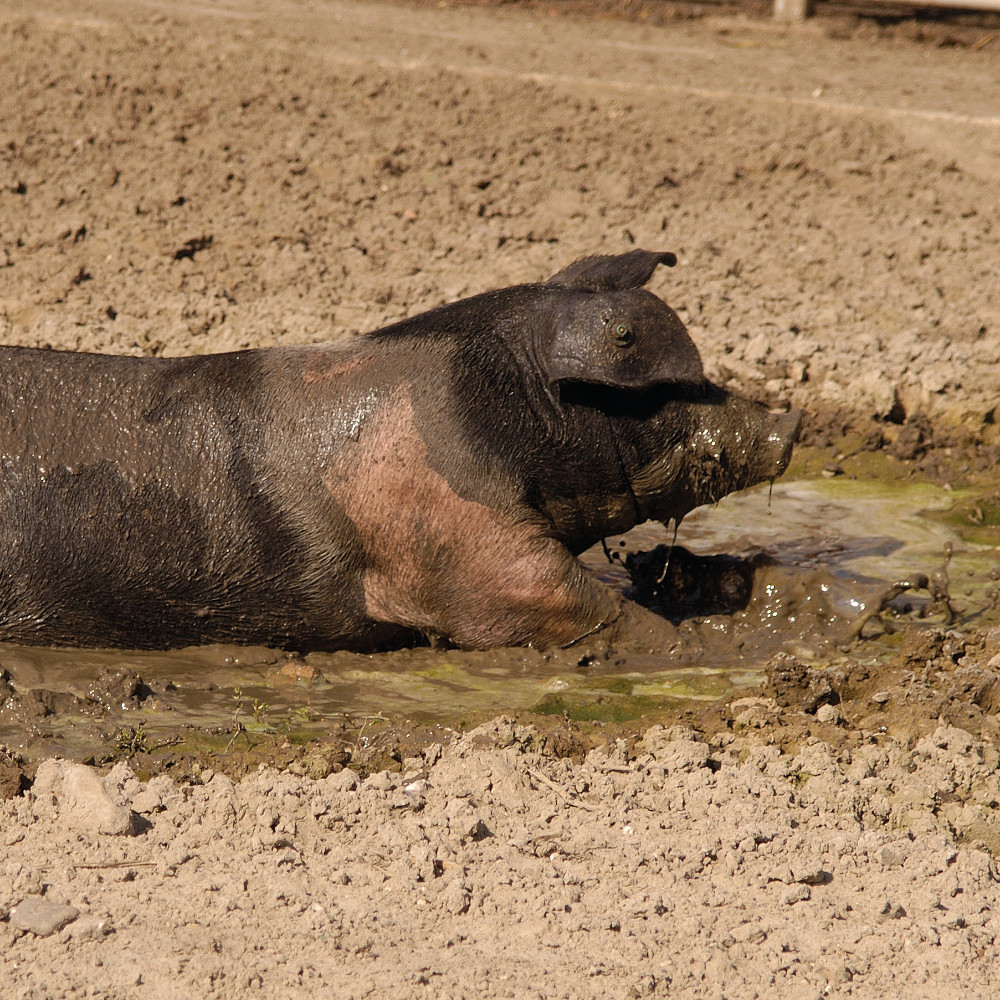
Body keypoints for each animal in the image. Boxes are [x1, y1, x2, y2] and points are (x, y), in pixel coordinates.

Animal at [0, 250, 798, 652]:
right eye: (665, 392)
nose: (788, 427)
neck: (494, 416)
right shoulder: (461, 540)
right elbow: (575, 604)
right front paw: (692, 648)